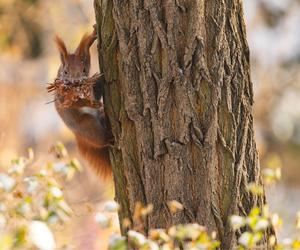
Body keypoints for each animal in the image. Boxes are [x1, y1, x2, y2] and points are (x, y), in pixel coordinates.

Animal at [53, 28, 112, 177]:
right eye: (66, 71)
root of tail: (77, 136)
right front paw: (90, 103)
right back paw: (107, 138)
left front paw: (92, 36)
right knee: (98, 139)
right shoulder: (63, 98)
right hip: (86, 124)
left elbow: (86, 53)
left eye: (84, 70)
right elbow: (75, 104)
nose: (76, 82)